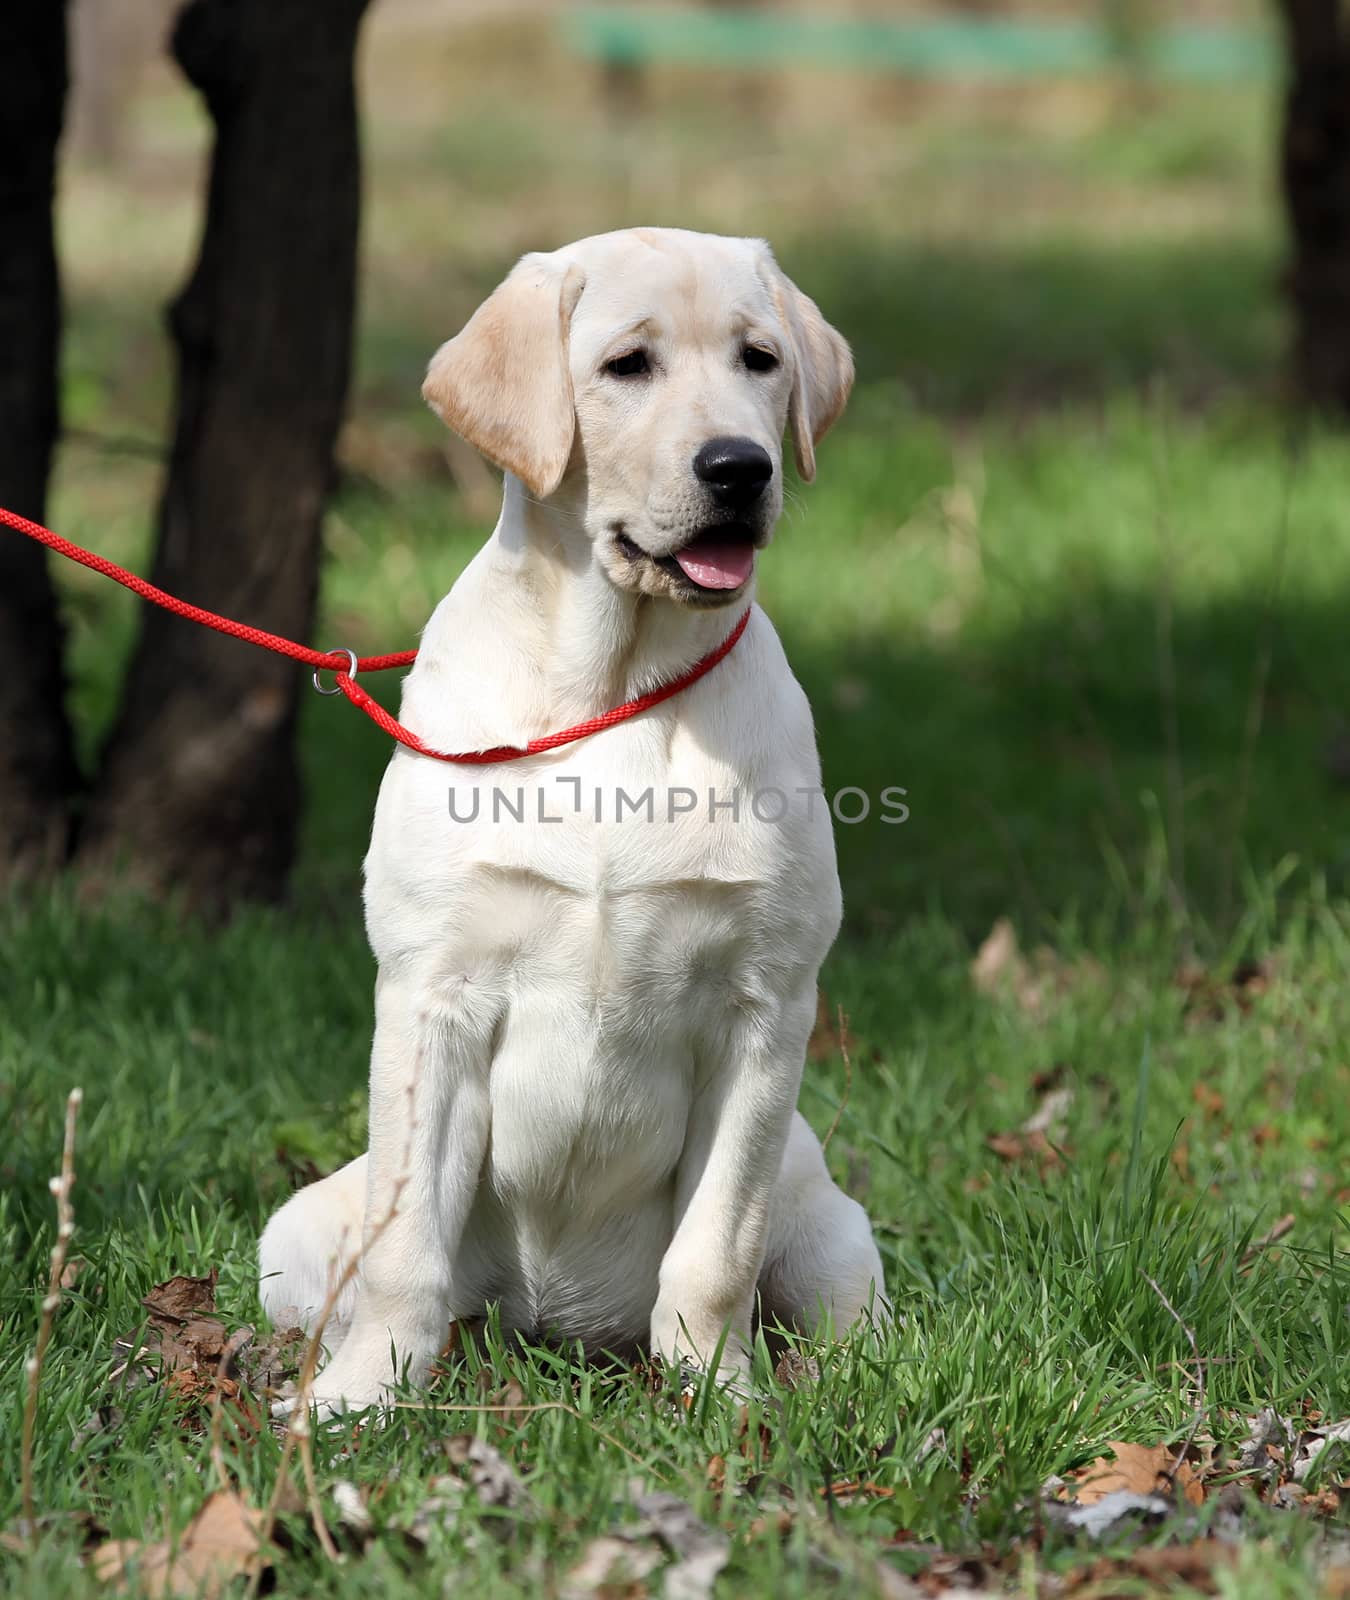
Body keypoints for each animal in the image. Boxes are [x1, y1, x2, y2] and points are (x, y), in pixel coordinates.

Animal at [259, 228, 889, 1414]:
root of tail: (553, 1330)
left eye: (761, 359)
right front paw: (363, 1397)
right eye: (627, 365)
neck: (616, 687)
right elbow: (406, 1248)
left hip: (825, 1207)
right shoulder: (434, 993)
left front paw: (718, 1397)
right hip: (296, 1232)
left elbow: (716, 1246)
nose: (741, 467)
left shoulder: (765, 1007)